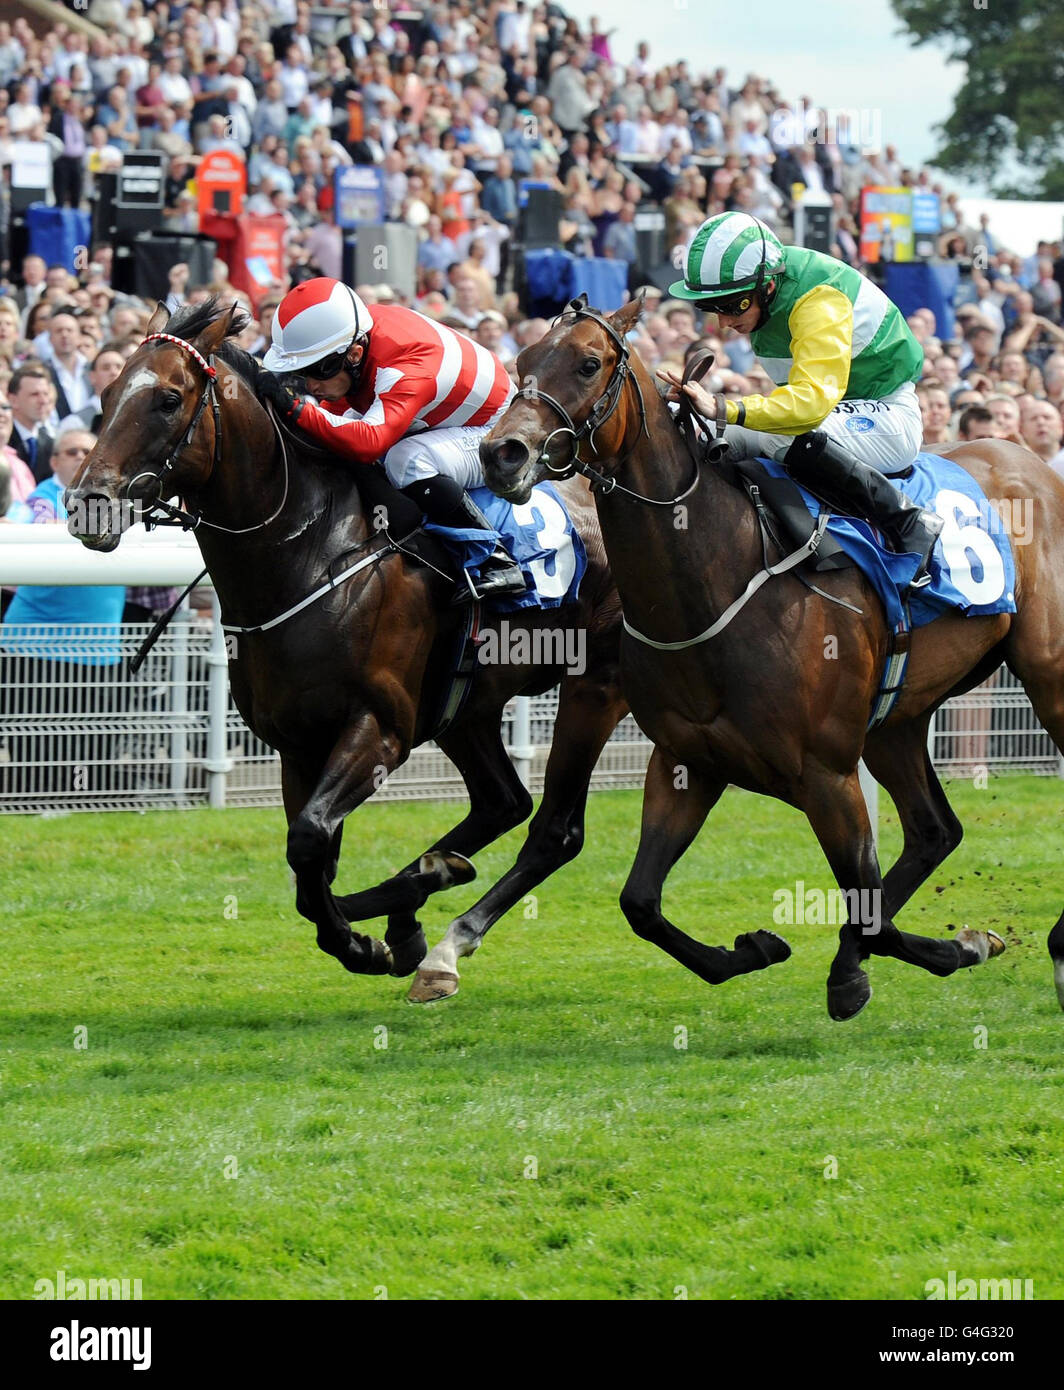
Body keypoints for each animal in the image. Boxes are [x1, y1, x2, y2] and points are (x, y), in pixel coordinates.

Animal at [64, 301, 631, 1000]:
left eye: (169, 399)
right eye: (108, 394)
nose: (87, 505)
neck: (312, 554)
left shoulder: (378, 730)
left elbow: (309, 842)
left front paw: (366, 941)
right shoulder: (298, 743)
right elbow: (310, 864)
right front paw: (380, 929)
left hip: (596, 685)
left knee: (554, 831)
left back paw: (438, 932)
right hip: (465, 708)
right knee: (504, 802)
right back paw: (426, 886)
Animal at [478, 298, 1062, 1023]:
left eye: (588, 363)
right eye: (522, 362)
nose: (501, 453)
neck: (715, 581)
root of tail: (1026, 456)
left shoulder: (827, 773)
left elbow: (869, 912)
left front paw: (949, 948)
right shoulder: (688, 762)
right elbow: (640, 903)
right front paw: (759, 949)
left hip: (1045, 676)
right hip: (894, 719)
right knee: (934, 831)